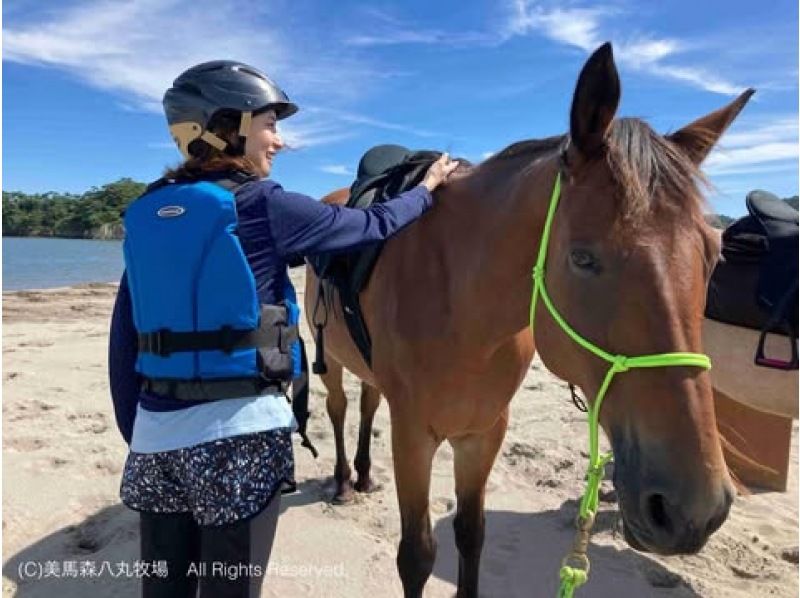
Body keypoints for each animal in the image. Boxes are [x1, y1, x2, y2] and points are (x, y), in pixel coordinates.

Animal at [304, 43, 752, 598]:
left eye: (713, 255)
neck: (461, 309)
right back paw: (345, 481)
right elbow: (417, 555)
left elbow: (471, 533)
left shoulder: (484, 433)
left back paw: (365, 475)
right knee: (341, 409)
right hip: (329, 359)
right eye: (582, 258)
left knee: (367, 403)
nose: (695, 510)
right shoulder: (413, 438)